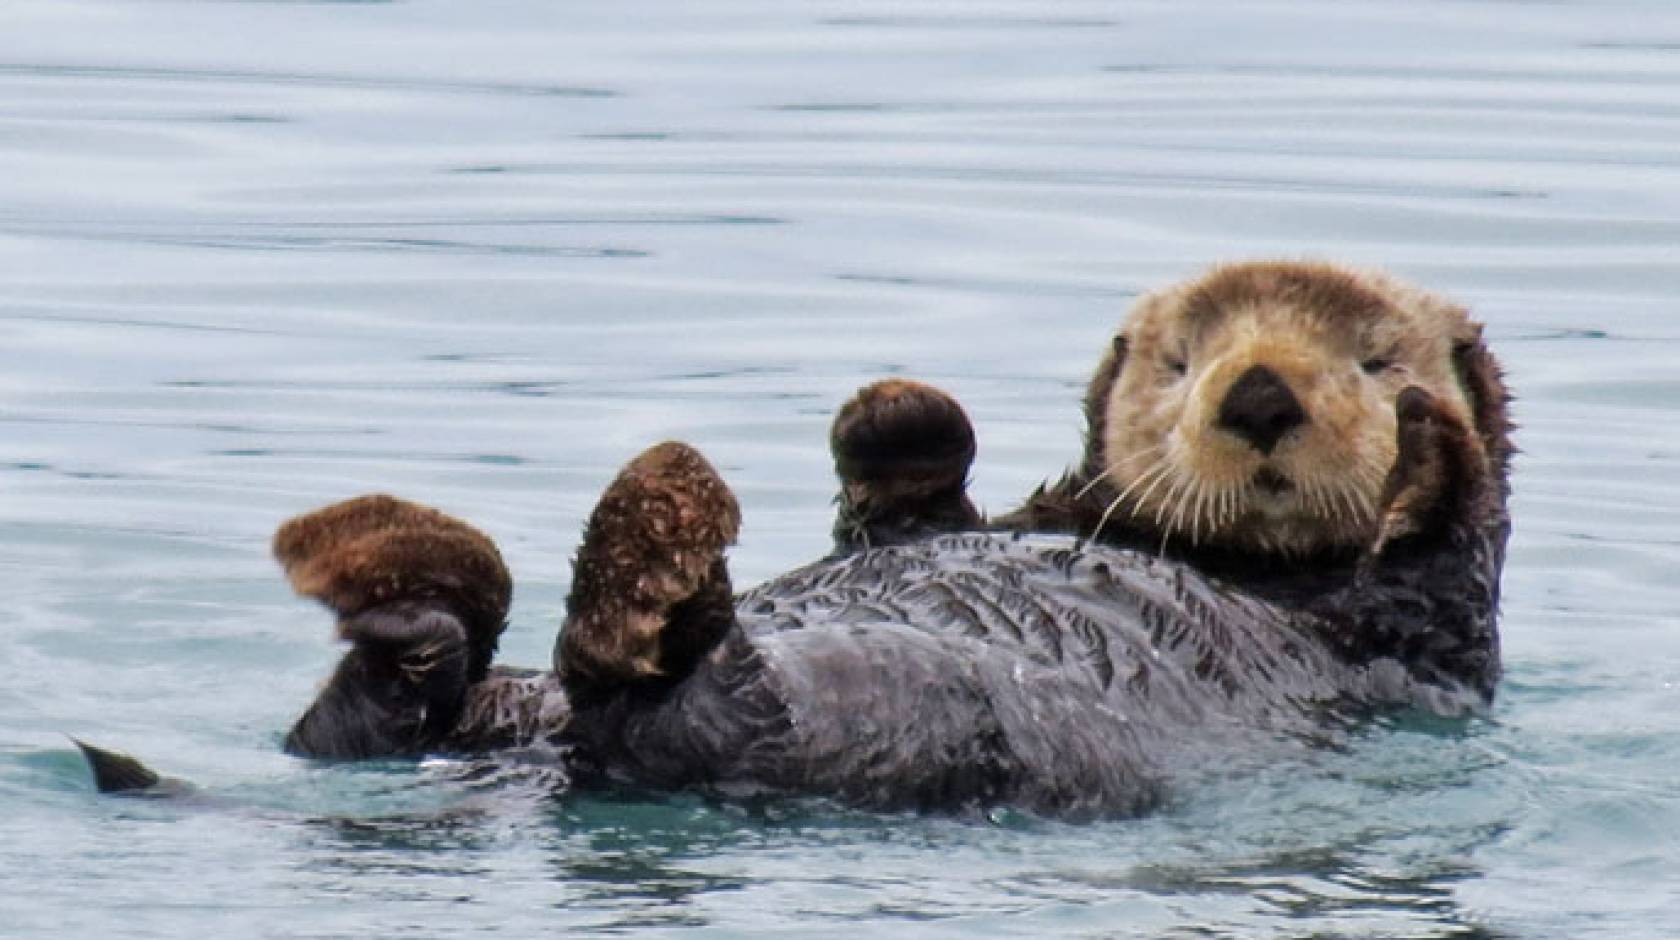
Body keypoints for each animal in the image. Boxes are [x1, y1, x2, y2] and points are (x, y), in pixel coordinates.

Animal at [93, 261, 1511, 820]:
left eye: (1375, 359)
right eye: (1180, 358)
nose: (1256, 393)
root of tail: (549, 764)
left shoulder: (1419, 633)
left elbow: (1442, 548)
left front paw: (1432, 445)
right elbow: (907, 499)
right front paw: (901, 411)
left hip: (868, 718)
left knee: (673, 690)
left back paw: (646, 542)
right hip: (498, 708)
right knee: (386, 706)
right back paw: (397, 571)